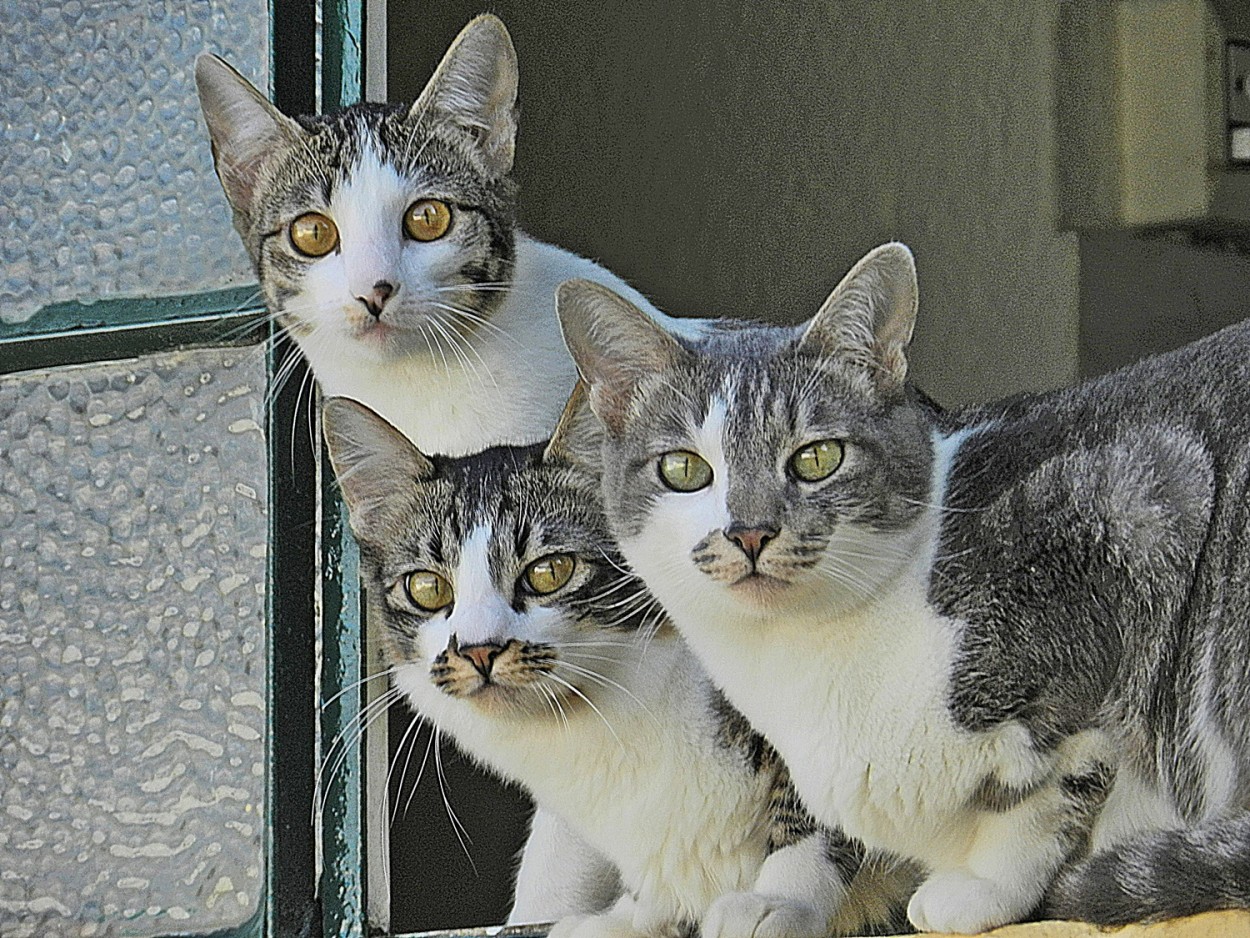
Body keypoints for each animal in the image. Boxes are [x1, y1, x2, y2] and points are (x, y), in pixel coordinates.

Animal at [317, 390, 915, 938]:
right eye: (427, 588)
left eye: (550, 571)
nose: (479, 649)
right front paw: (629, 915)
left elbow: (818, 800)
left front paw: (779, 900)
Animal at [555, 246, 1250, 935]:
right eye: (683, 469)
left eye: (817, 458)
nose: (749, 531)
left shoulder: (1131, 513)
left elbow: (1047, 787)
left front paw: (982, 886)